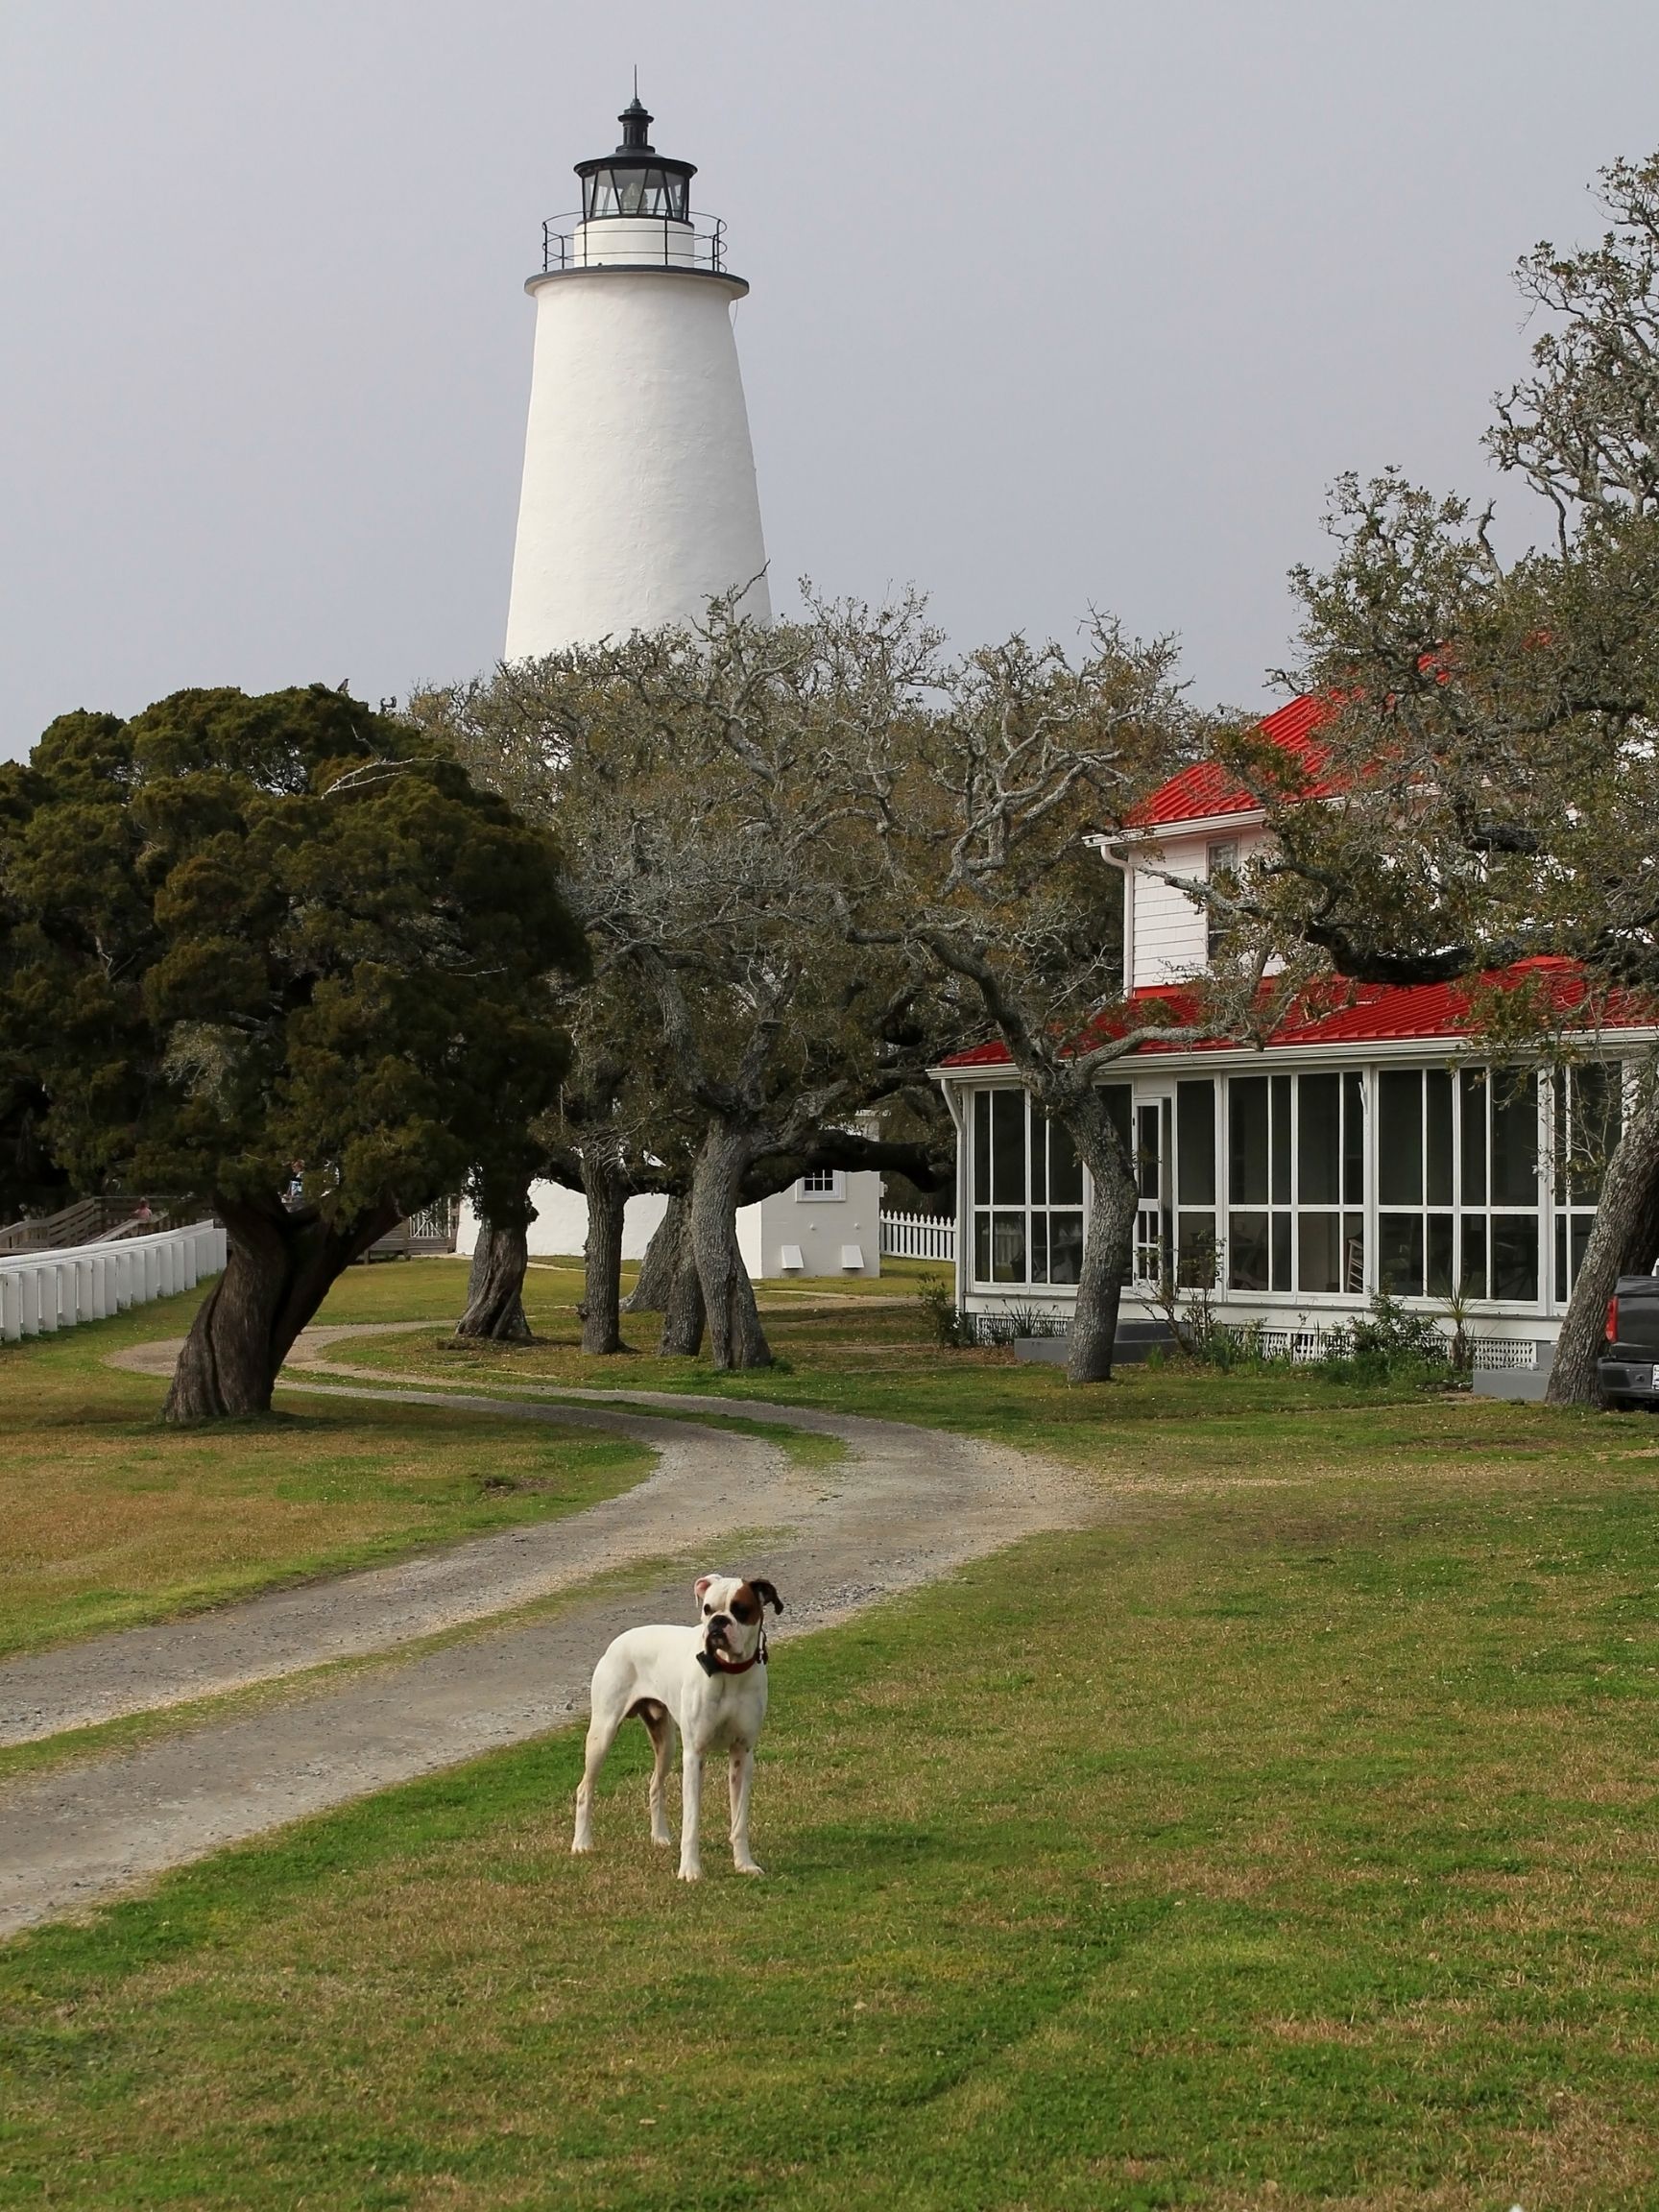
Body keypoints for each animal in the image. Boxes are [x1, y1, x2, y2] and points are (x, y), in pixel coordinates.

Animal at [570, 1575, 787, 1885]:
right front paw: (691, 1870)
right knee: (585, 1788)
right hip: (603, 1733)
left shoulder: (743, 1755)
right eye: (708, 1608)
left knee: (654, 1784)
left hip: (666, 1742)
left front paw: (744, 1864)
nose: (718, 1622)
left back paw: (660, 1837)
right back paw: (582, 1844)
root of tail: (618, 1641)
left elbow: (739, 1820)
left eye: (740, 1609)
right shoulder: (694, 1754)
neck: (729, 1671)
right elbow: (692, 1820)